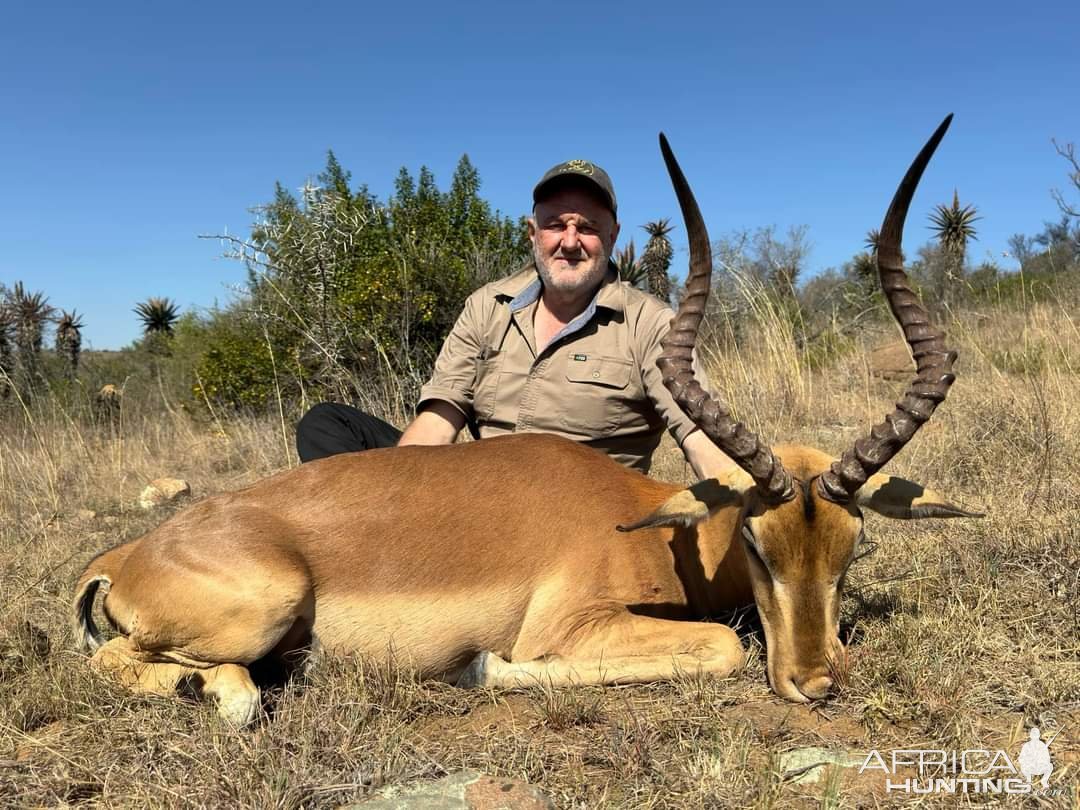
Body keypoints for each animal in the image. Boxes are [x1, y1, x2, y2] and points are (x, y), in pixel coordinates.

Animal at [71, 115, 976, 730]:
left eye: (853, 546)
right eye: (757, 541)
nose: (817, 684)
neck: (643, 529)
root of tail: (124, 556)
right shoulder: (573, 628)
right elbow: (721, 646)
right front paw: (480, 671)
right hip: (262, 608)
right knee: (162, 673)